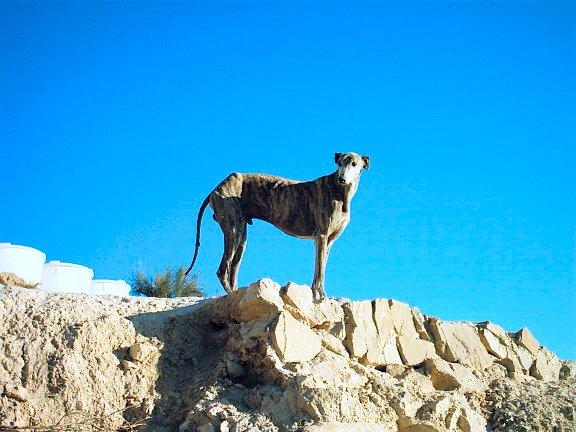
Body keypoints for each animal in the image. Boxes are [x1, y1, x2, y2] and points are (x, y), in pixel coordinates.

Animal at [187, 153, 372, 300]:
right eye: (339, 163)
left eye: (354, 163)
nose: (342, 178)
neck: (340, 192)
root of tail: (216, 188)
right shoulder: (321, 236)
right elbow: (319, 270)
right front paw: (321, 296)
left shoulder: (328, 241)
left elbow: (321, 267)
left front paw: (318, 295)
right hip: (234, 228)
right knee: (222, 270)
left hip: (241, 236)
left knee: (233, 269)